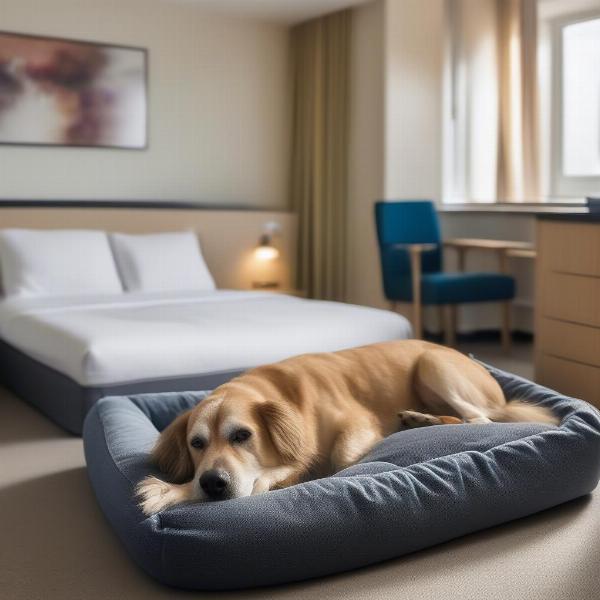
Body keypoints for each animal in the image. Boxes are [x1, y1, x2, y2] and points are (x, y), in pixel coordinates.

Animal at [137, 340, 556, 512]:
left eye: (243, 436)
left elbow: (336, 460)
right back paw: (418, 419)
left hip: (432, 364)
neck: (284, 394)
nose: (212, 483)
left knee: (477, 419)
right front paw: (174, 491)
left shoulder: (357, 425)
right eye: (196, 444)